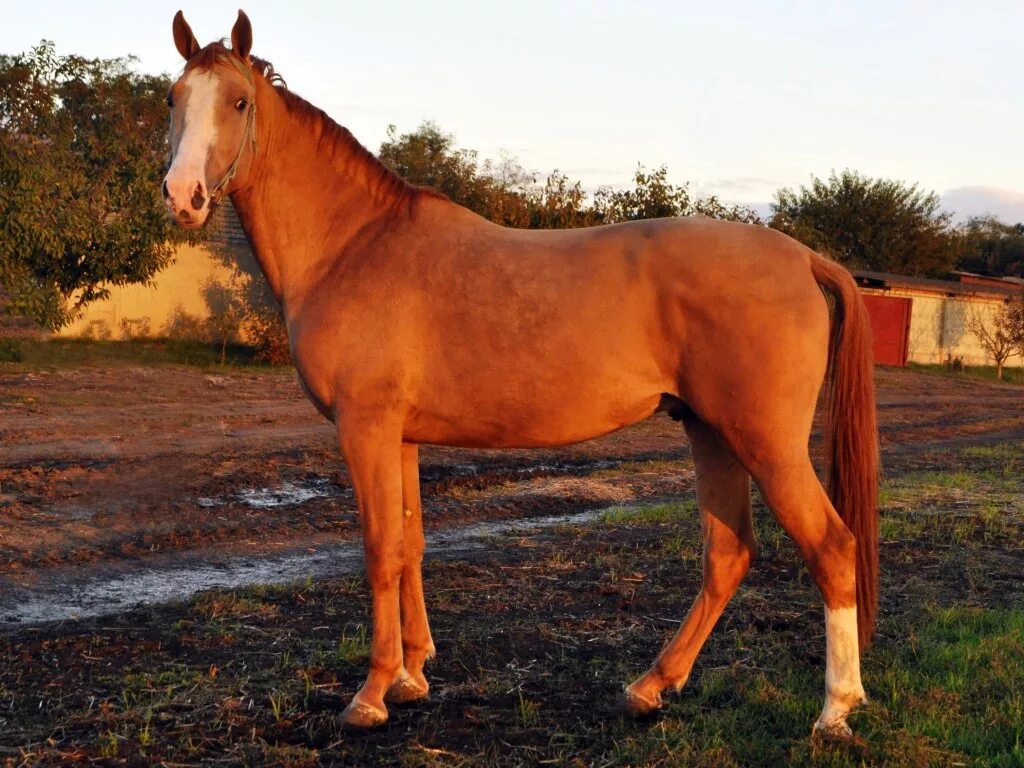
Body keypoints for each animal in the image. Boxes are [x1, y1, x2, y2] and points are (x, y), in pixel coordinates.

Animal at [161, 7, 880, 741]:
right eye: (172, 98)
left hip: (767, 445)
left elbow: (379, 549)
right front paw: (413, 676)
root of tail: (801, 257)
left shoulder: (365, 427)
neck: (354, 244)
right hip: (711, 433)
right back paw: (650, 686)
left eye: (238, 102)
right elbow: (412, 544)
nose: (182, 196)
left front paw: (372, 693)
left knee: (832, 548)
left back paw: (835, 709)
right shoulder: (402, 437)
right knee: (728, 554)